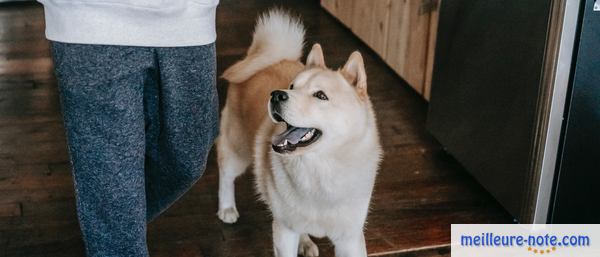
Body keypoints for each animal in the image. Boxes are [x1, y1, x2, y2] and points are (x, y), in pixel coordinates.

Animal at [216, 9, 382, 255]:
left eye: (320, 95)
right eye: (292, 87)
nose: (276, 95)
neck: (321, 168)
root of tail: (271, 58)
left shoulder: (349, 238)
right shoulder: (285, 230)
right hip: (238, 148)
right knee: (226, 172)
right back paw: (226, 207)